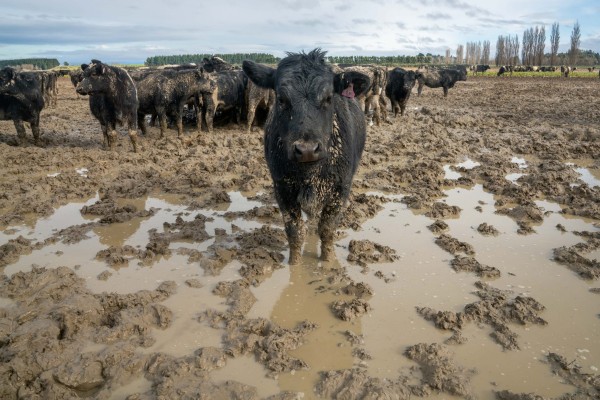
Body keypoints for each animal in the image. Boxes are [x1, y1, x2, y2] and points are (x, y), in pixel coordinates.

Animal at [243, 48, 370, 264]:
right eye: (281, 99)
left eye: (328, 98)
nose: (307, 149)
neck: (310, 173)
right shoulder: (282, 188)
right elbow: (294, 231)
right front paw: (294, 264)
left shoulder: (340, 189)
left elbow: (327, 229)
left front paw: (328, 262)